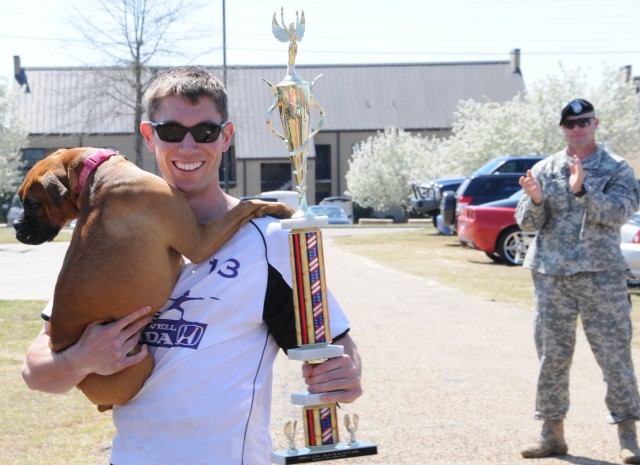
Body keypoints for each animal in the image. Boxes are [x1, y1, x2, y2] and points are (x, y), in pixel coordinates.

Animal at [13, 147, 292, 408]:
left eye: (32, 204)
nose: (16, 226)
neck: (96, 172)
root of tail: (60, 349)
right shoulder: (199, 243)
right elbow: (245, 206)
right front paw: (279, 206)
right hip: (140, 362)